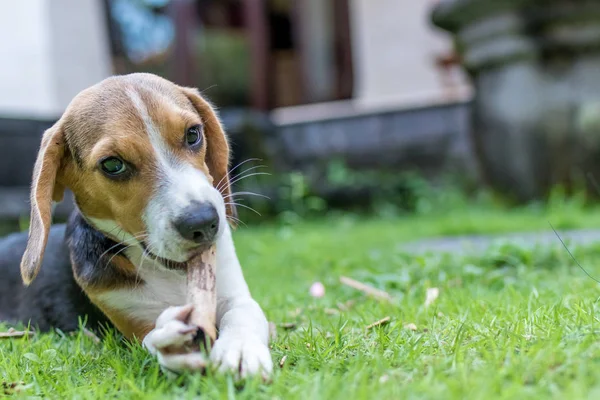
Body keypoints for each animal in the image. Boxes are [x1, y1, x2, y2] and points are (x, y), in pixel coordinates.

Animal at [0, 74, 274, 378]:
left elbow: (243, 312)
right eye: (112, 165)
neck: (168, 273)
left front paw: (240, 349)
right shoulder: (131, 323)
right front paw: (173, 346)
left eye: (193, 135)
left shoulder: (231, 290)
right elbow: (149, 340)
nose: (203, 222)